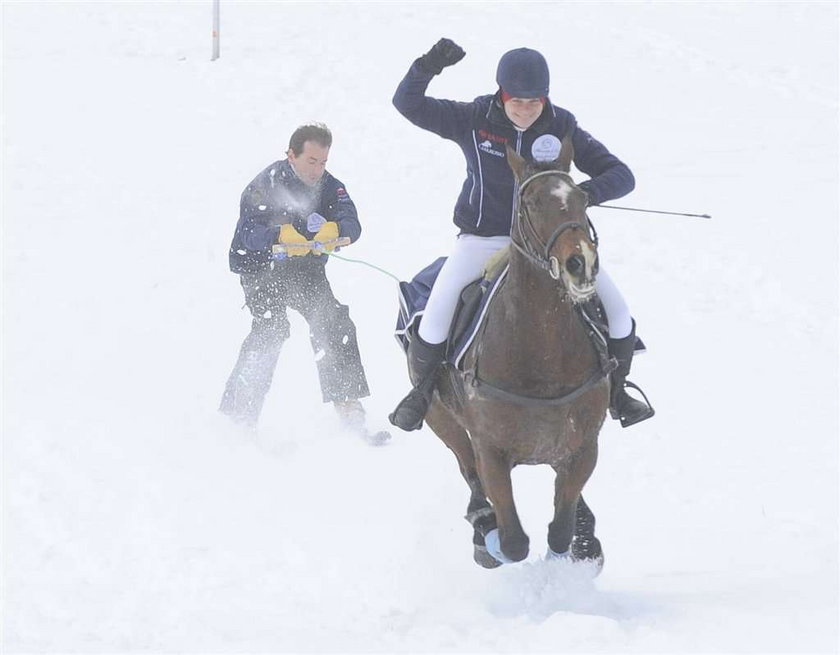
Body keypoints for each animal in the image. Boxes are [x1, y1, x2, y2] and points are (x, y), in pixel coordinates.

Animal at [424, 138, 612, 568]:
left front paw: (581, 546)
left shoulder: (582, 447)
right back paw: (481, 526)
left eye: (582, 199)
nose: (581, 264)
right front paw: (492, 540)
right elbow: (513, 541)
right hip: (441, 420)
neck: (542, 356)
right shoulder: (490, 450)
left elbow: (560, 529)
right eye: (531, 202)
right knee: (467, 470)